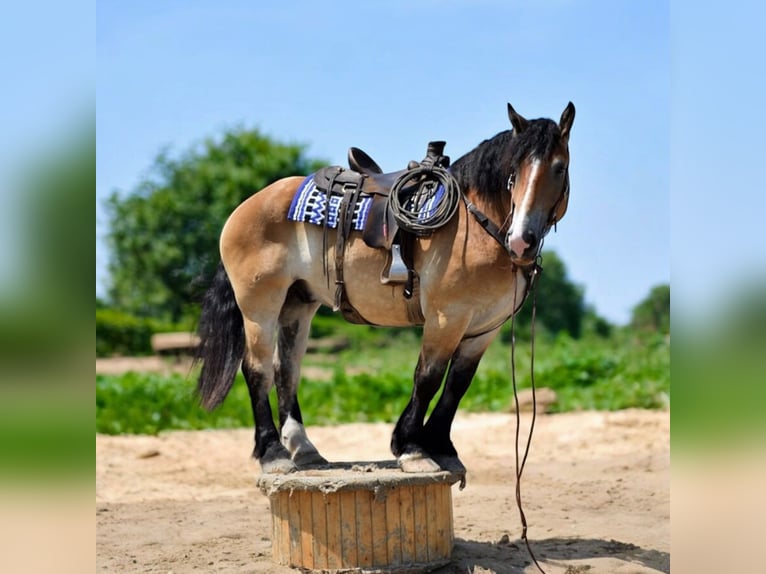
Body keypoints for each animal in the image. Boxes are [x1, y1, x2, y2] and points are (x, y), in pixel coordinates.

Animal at [196, 102, 576, 476]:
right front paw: (411, 448)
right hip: (259, 307)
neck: (477, 224)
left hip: (297, 304)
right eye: (514, 171)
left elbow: (458, 383)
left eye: (559, 168)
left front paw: (441, 446)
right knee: (256, 369)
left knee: (285, 368)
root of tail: (245, 207)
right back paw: (273, 453)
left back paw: (303, 448)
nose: (522, 240)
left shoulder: (484, 328)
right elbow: (428, 377)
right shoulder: (446, 318)